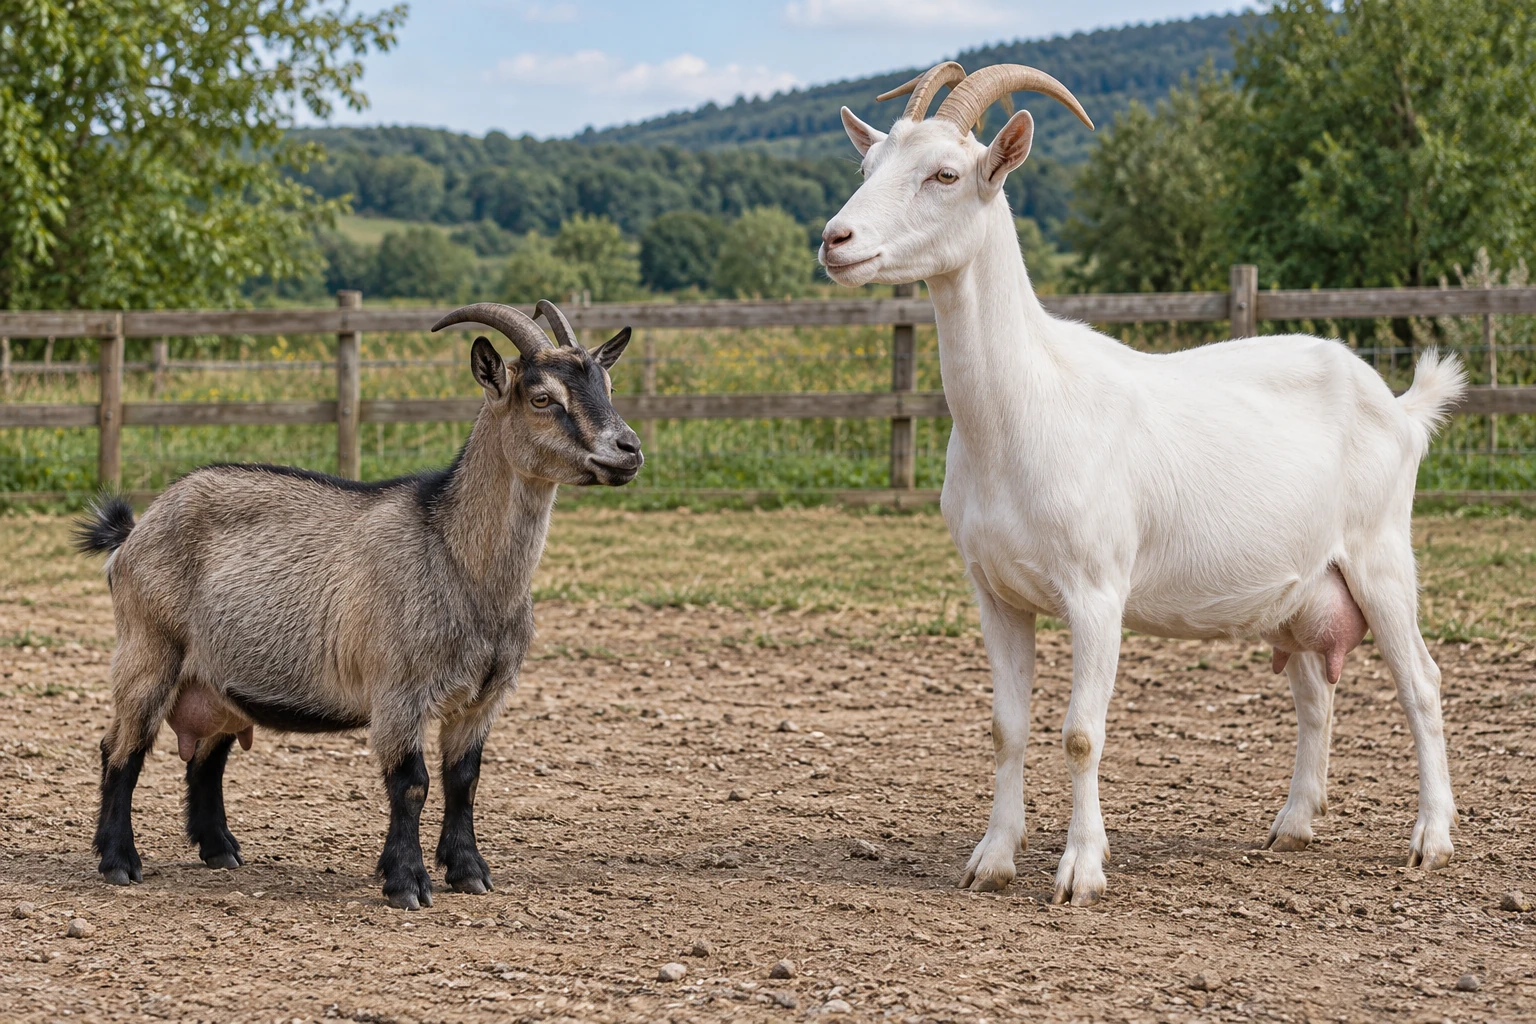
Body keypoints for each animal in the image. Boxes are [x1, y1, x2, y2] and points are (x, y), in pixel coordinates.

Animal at [76, 301, 641, 909]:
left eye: (608, 385)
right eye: (541, 398)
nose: (628, 450)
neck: (455, 556)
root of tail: (134, 532)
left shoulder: (484, 698)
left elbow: (464, 780)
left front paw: (468, 871)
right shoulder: (399, 689)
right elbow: (412, 783)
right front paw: (407, 883)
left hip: (217, 678)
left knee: (207, 755)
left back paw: (220, 849)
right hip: (148, 648)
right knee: (122, 747)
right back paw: (119, 861)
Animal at [821, 63, 1465, 905]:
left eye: (946, 174)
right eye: (867, 166)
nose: (836, 241)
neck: (1027, 405)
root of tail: (1399, 407)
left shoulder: (1097, 590)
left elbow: (1080, 733)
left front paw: (1079, 871)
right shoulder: (995, 593)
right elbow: (1006, 726)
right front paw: (991, 859)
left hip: (1381, 554)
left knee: (1421, 682)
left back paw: (1431, 839)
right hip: (1302, 589)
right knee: (1315, 696)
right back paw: (1293, 824)